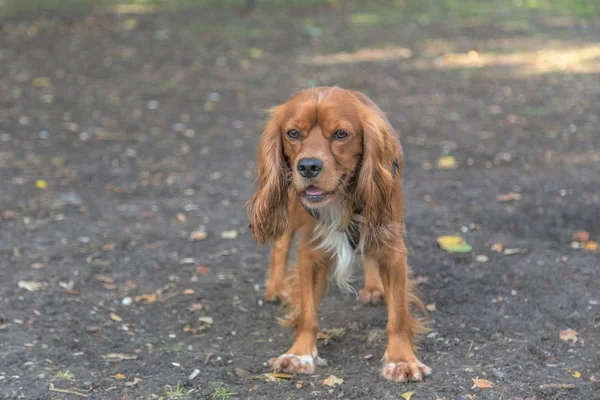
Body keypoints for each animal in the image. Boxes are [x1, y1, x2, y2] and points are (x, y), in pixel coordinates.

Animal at [246, 86, 428, 382]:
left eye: (341, 134)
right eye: (292, 133)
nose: (308, 166)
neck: (342, 199)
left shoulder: (393, 249)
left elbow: (398, 315)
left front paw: (402, 360)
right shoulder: (311, 251)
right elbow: (308, 313)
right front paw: (299, 354)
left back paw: (375, 288)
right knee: (280, 245)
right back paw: (275, 289)